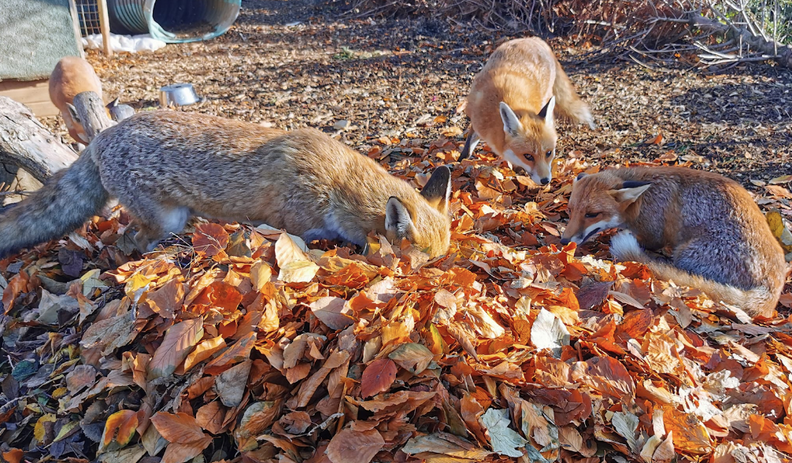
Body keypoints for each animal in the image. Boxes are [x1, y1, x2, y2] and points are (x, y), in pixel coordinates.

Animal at [0, 111, 453, 259]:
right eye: (420, 264)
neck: (335, 185)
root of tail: (101, 136)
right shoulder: (292, 225)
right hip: (164, 220)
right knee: (132, 240)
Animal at [459, 37, 595, 185]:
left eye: (549, 153)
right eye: (528, 156)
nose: (546, 180)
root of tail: (534, 38)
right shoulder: (476, 122)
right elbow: (467, 151)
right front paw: (458, 164)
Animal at [561, 167, 788, 319]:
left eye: (592, 214)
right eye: (570, 211)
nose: (564, 240)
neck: (644, 200)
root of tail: (773, 285)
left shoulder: (653, 235)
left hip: (685, 253)